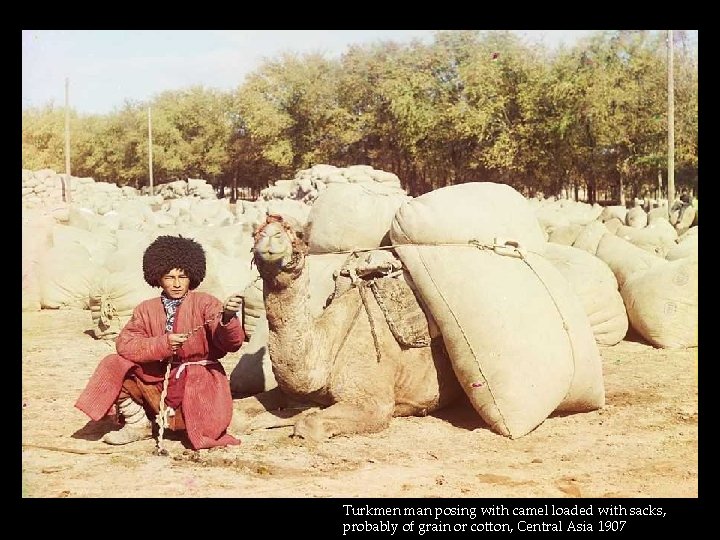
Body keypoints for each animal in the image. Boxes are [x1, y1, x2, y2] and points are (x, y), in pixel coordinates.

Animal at [233, 213, 464, 440]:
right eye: (256, 232)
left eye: (298, 234)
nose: (271, 234)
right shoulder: (286, 391)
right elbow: (239, 410)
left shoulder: (373, 403)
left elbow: (308, 424)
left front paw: (302, 414)